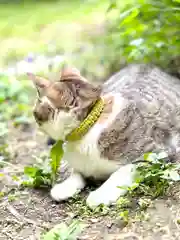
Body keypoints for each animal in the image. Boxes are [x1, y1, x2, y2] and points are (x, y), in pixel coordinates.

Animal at [27, 63, 180, 208]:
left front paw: (101, 194)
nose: (33, 114)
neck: (88, 128)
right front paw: (65, 186)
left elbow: (126, 169)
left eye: (35, 110)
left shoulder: (158, 153)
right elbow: (73, 169)